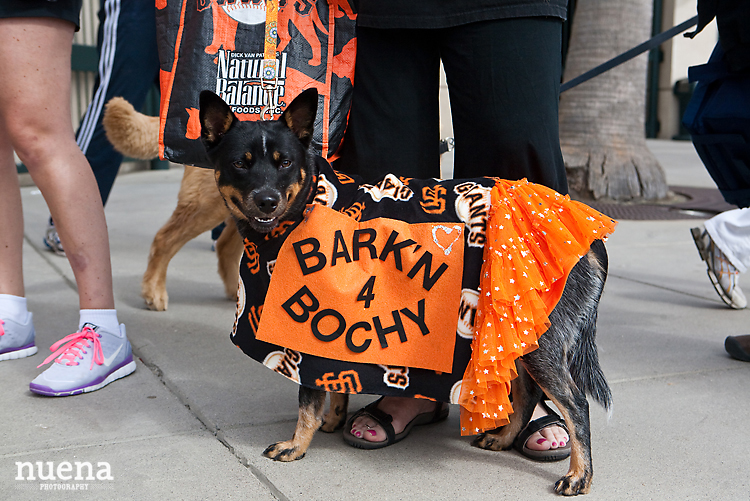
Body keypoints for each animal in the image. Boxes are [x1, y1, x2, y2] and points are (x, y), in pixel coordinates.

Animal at [195, 88, 616, 494]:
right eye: (241, 163)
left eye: (283, 163)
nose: (267, 200)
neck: (310, 200)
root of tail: (588, 239)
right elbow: (333, 386)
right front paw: (334, 420)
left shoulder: (307, 335)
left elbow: (307, 403)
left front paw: (297, 445)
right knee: (527, 393)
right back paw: (504, 438)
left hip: (539, 343)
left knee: (576, 405)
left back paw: (580, 475)